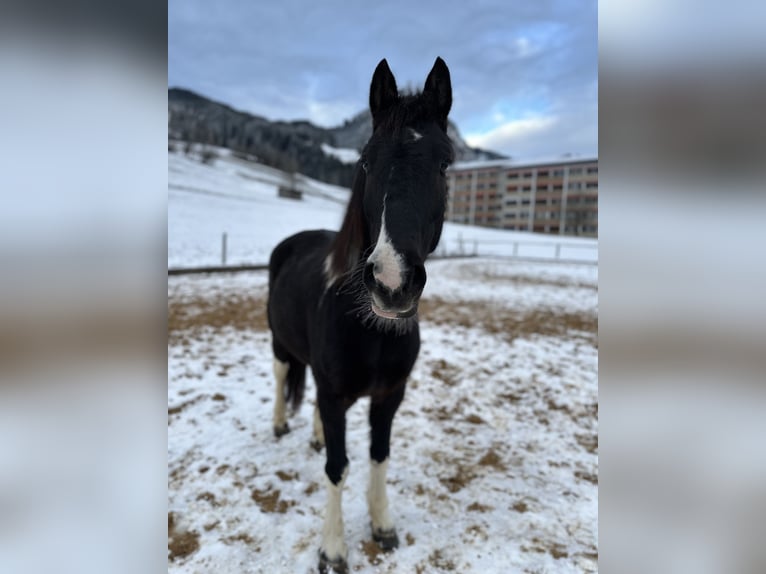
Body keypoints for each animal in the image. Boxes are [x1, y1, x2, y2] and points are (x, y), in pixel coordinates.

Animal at [268, 57, 452, 572]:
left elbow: (377, 455)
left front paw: (382, 525)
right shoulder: (336, 396)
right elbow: (337, 466)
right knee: (282, 375)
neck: (373, 331)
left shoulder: (389, 396)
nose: (392, 281)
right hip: (278, 343)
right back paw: (279, 425)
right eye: (366, 161)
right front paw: (332, 548)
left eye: (444, 162)